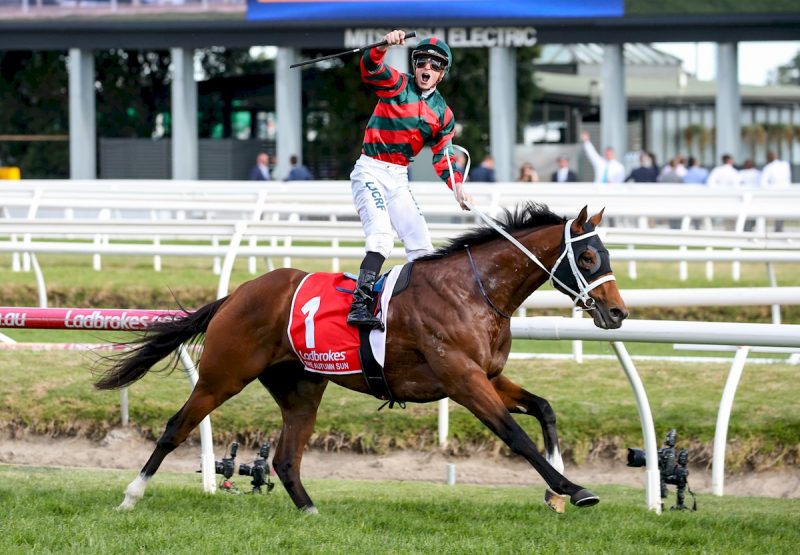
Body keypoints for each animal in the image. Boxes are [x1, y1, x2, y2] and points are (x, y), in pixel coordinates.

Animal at [94, 203, 628, 514]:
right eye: (587, 258)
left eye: (605, 254)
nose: (618, 311)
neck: (475, 292)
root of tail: (236, 294)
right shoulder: (463, 379)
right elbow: (515, 435)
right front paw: (573, 489)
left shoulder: (489, 375)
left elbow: (544, 409)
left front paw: (558, 491)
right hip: (223, 375)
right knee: (176, 427)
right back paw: (130, 496)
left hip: (301, 387)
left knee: (285, 458)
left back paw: (311, 513)